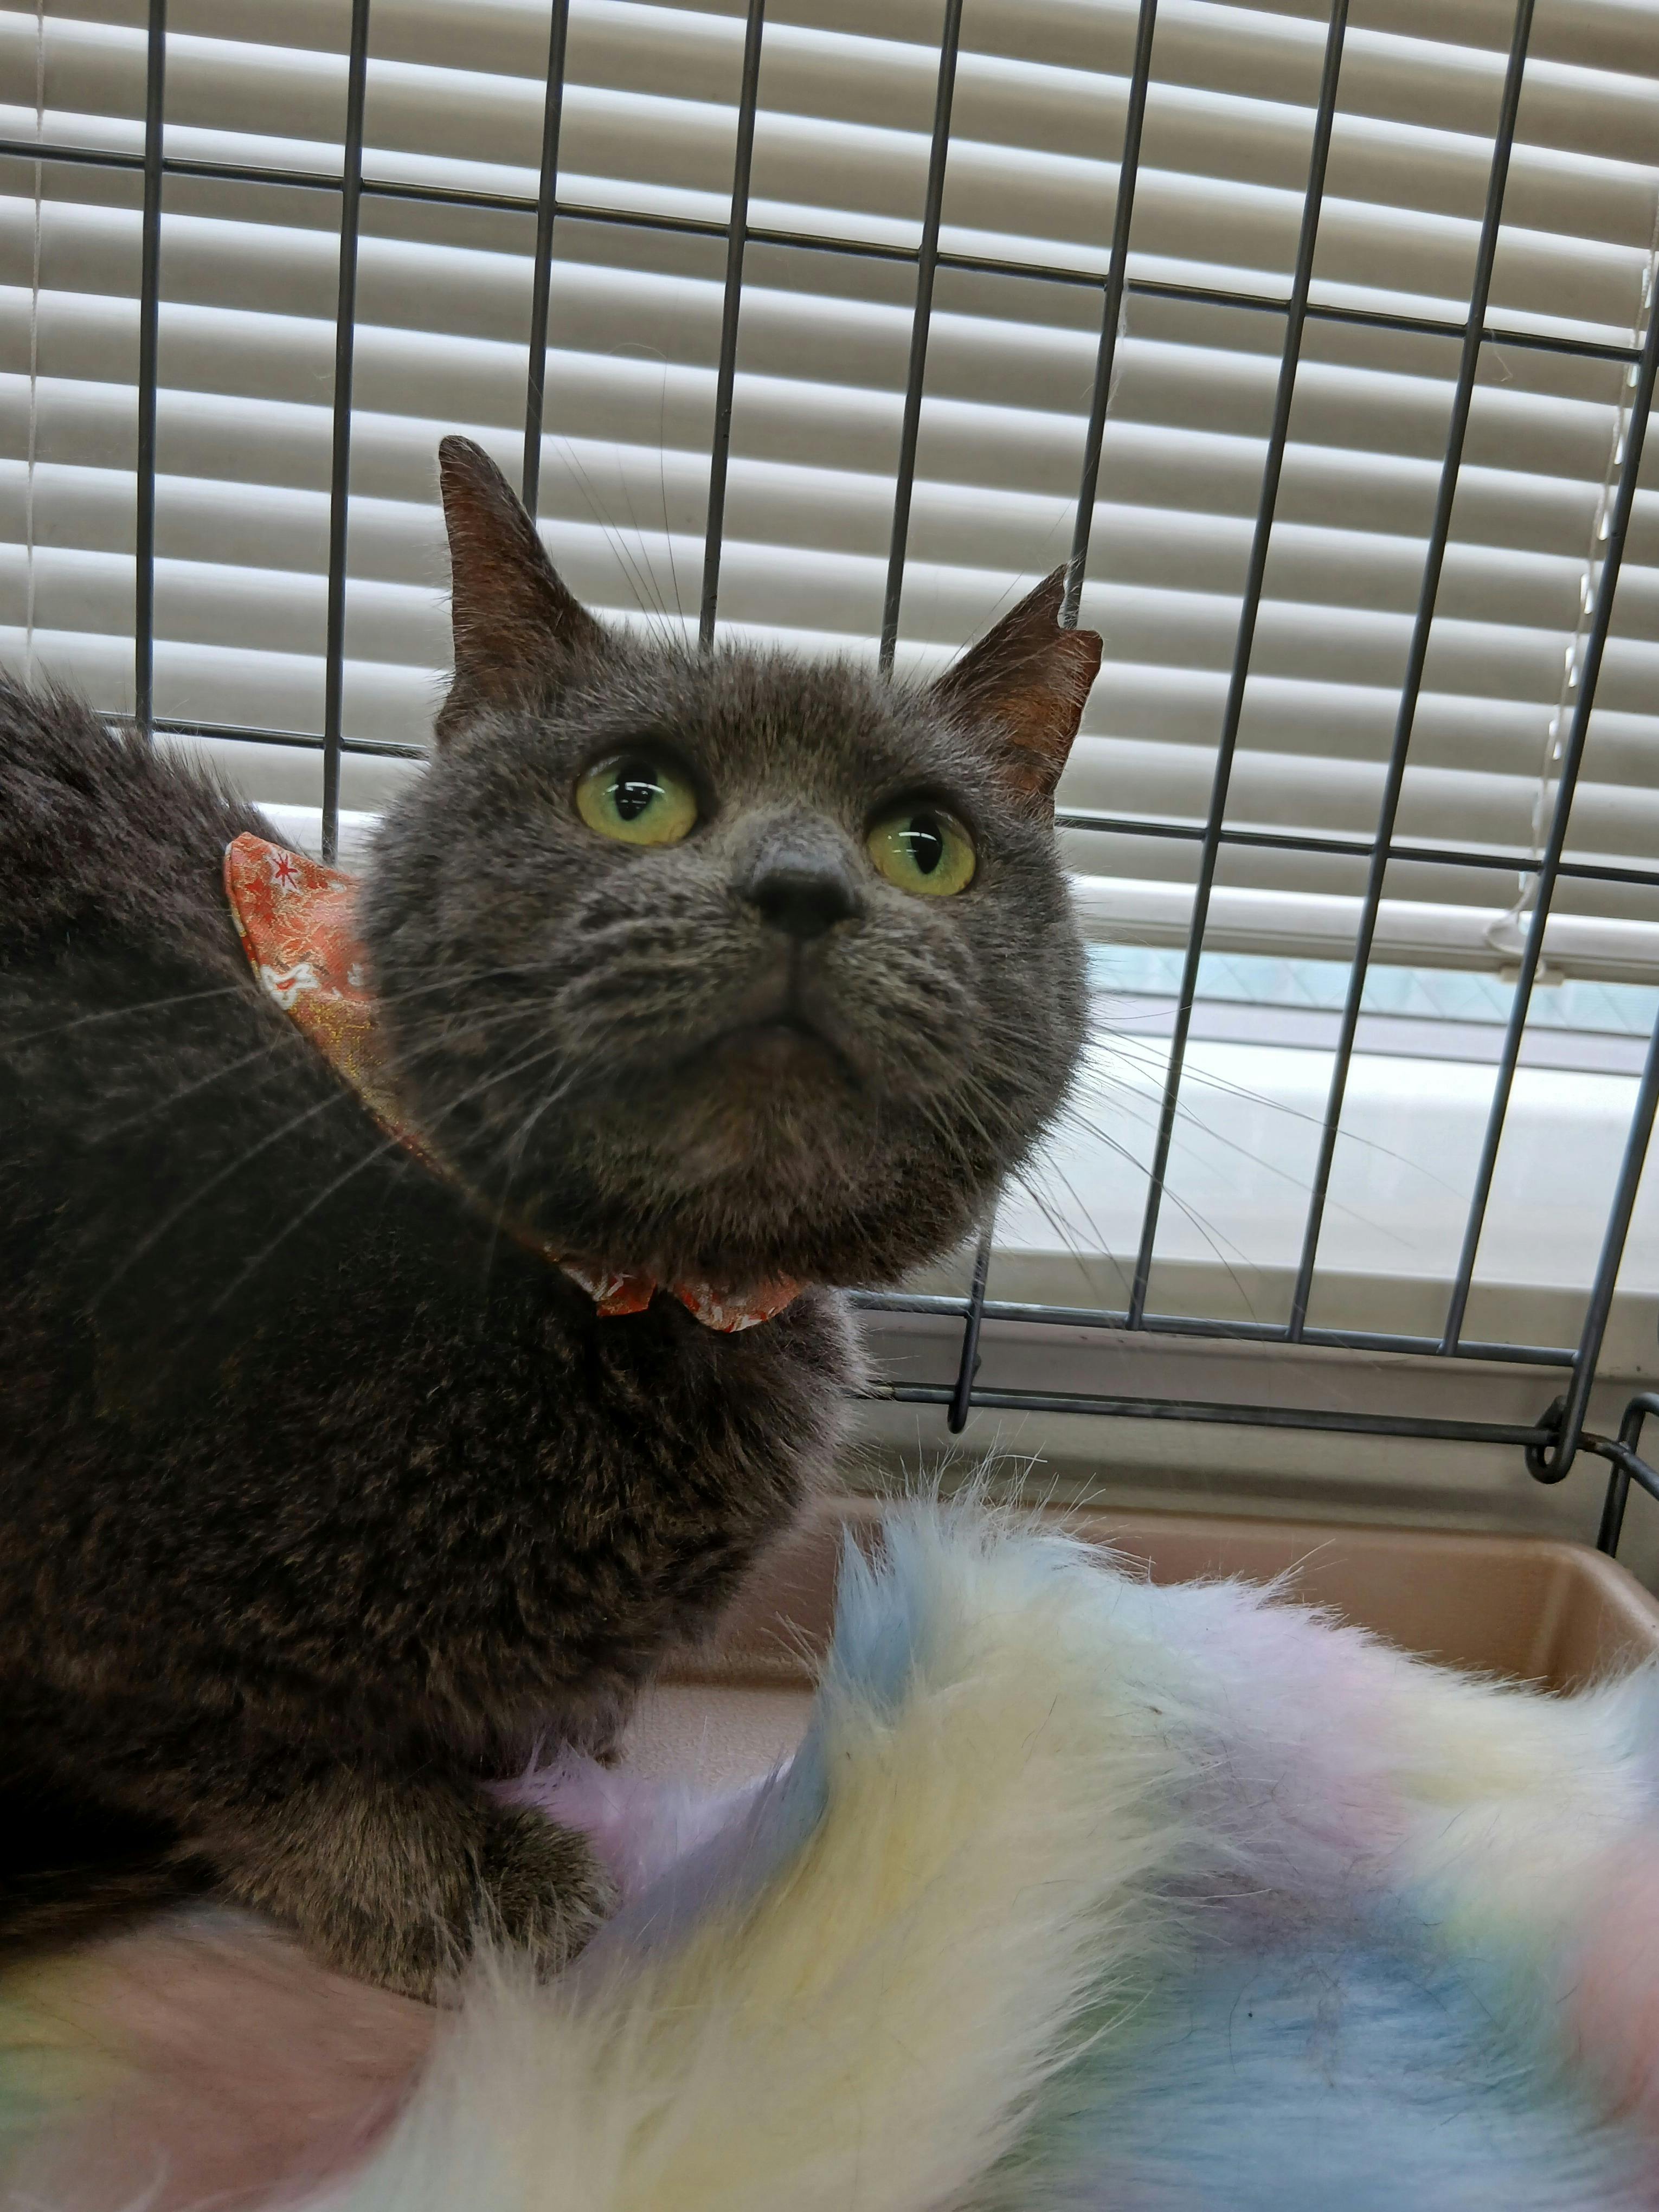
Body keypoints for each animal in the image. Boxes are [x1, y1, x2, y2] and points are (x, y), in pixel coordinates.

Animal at [0, 435, 1101, 1999]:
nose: (803, 889)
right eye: (631, 797)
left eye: (923, 847)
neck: (633, 1285)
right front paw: (451, 1866)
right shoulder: (68, 1600)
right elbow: (234, 1749)